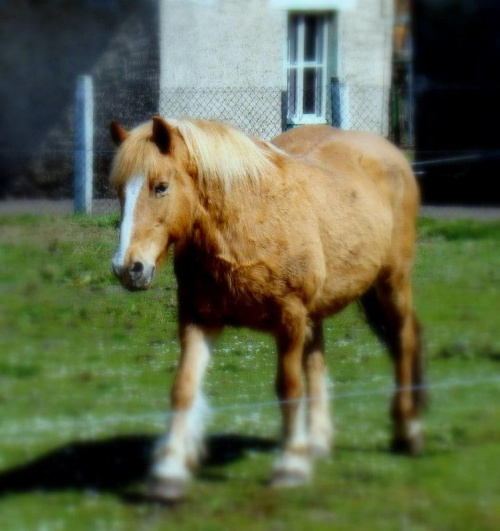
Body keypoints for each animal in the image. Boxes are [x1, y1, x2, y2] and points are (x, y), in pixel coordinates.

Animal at [108, 117, 422, 502]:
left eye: (161, 187)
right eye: (119, 191)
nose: (128, 268)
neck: (244, 223)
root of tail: (391, 153)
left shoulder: (290, 319)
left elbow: (288, 388)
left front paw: (290, 466)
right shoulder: (198, 320)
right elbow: (183, 388)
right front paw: (169, 472)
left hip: (392, 283)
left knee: (404, 341)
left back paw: (408, 431)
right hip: (318, 312)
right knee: (317, 362)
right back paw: (317, 441)